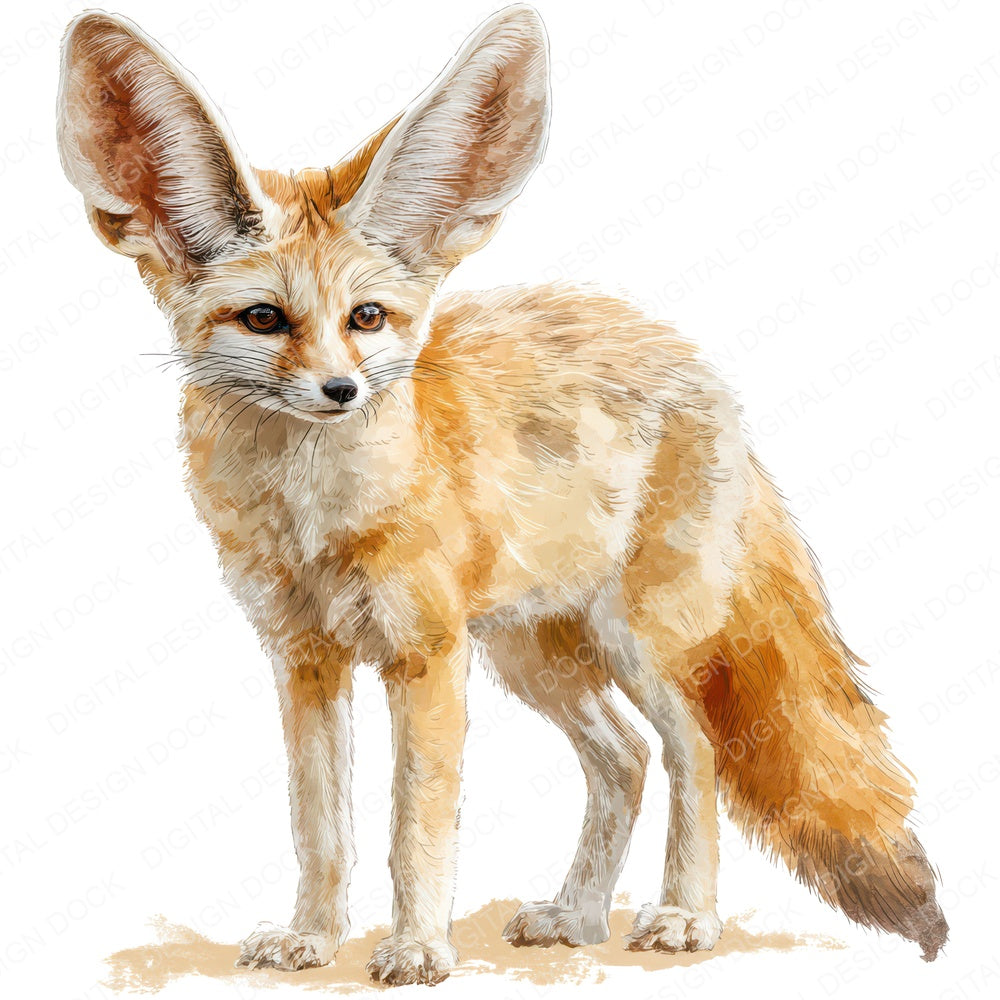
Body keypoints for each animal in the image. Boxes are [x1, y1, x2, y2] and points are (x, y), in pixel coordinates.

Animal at [56, 4, 948, 987]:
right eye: (264, 319)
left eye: (366, 318)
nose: (340, 391)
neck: (316, 519)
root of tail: (686, 357)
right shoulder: (304, 658)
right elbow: (319, 828)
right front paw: (312, 939)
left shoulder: (424, 654)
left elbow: (417, 825)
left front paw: (417, 948)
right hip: (535, 656)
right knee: (624, 760)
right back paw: (579, 913)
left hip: (635, 646)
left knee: (699, 753)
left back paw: (684, 915)